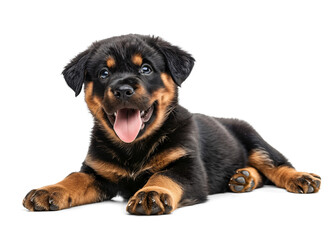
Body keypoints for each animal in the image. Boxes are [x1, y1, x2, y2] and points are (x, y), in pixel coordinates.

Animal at [22, 33, 322, 214]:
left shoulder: (188, 168)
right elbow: (74, 177)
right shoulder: (97, 172)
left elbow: (164, 175)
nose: (122, 90)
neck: (134, 147)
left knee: (276, 163)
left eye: (146, 69)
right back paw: (243, 178)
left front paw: (150, 193)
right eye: (104, 73)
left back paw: (299, 177)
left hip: (253, 138)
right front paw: (49, 190)